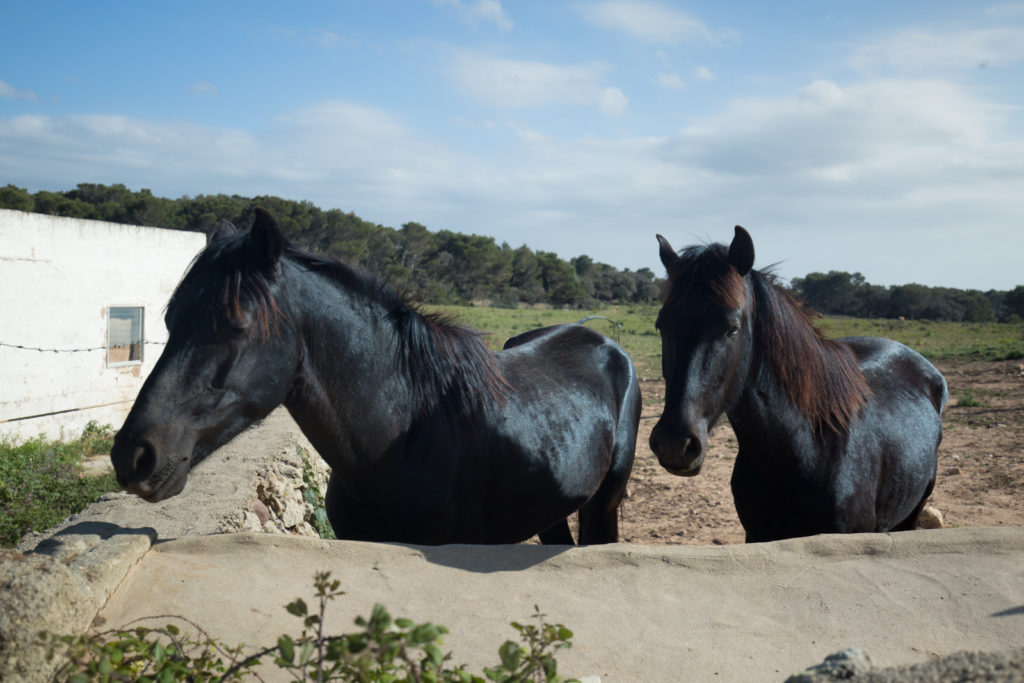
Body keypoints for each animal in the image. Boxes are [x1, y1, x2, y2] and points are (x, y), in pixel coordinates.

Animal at [112, 208, 638, 544]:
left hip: (602, 505)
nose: (132, 455)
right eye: (169, 320)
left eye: (236, 325)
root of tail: (602, 341)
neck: (404, 442)